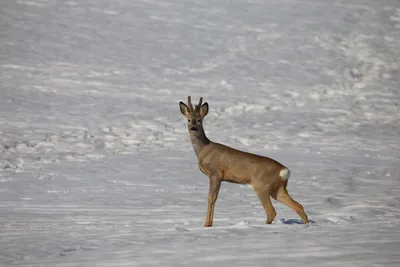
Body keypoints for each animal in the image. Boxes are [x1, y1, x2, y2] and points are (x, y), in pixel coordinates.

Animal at [179, 96, 310, 228]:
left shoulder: (216, 173)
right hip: (278, 189)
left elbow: (211, 198)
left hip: (261, 185)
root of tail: (284, 171)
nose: (193, 128)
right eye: (189, 120)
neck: (204, 150)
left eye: (199, 120)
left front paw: (207, 225)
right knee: (298, 206)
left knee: (271, 211)